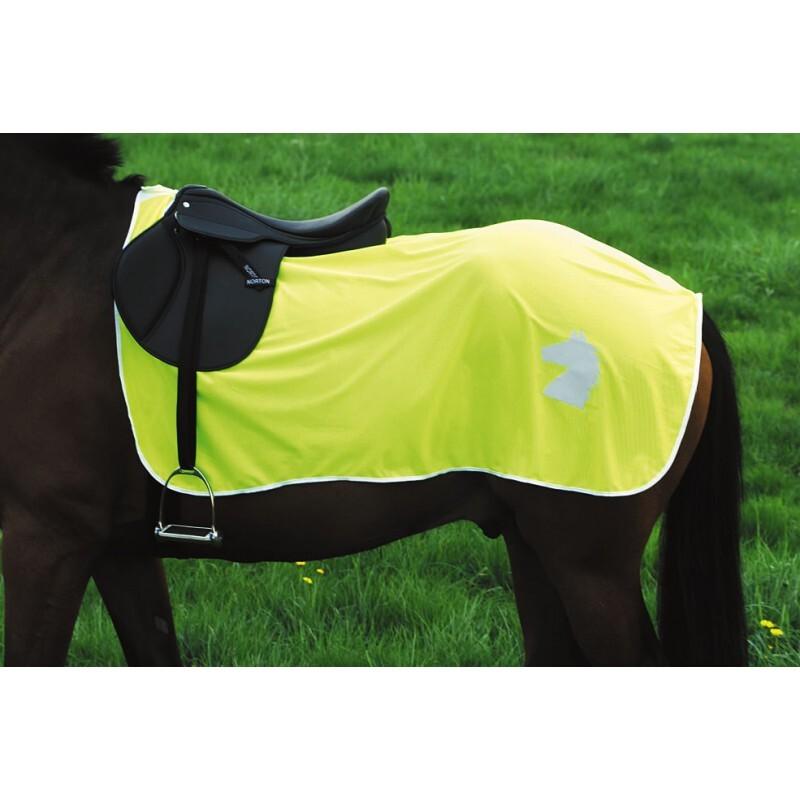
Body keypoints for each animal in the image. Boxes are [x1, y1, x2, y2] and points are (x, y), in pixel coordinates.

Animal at [0, 134, 747, 666]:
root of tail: (682, 303)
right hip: (535, 543)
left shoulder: (49, 536)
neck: (53, 265)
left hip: (589, 563)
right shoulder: (118, 548)